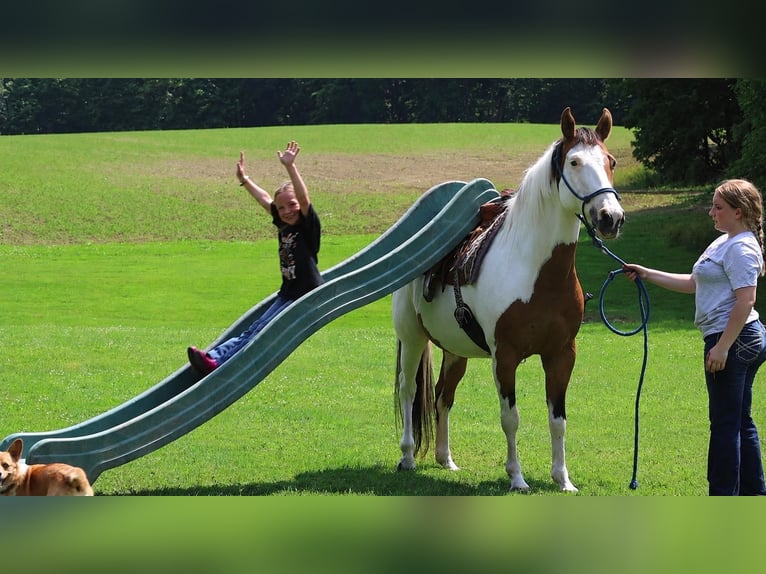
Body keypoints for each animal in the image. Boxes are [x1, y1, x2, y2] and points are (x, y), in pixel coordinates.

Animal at [392, 107, 625, 492]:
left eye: (611, 161)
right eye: (574, 161)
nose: (611, 218)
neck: (535, 271)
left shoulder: (562, 354)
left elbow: (558, 419)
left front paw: (563, 479)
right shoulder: (505, 356)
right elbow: (510, 418)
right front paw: (517, 477)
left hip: (455, 351)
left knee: (443, 397)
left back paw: (446, 459)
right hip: (412, 339)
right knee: (409, 392)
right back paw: (408, 457)